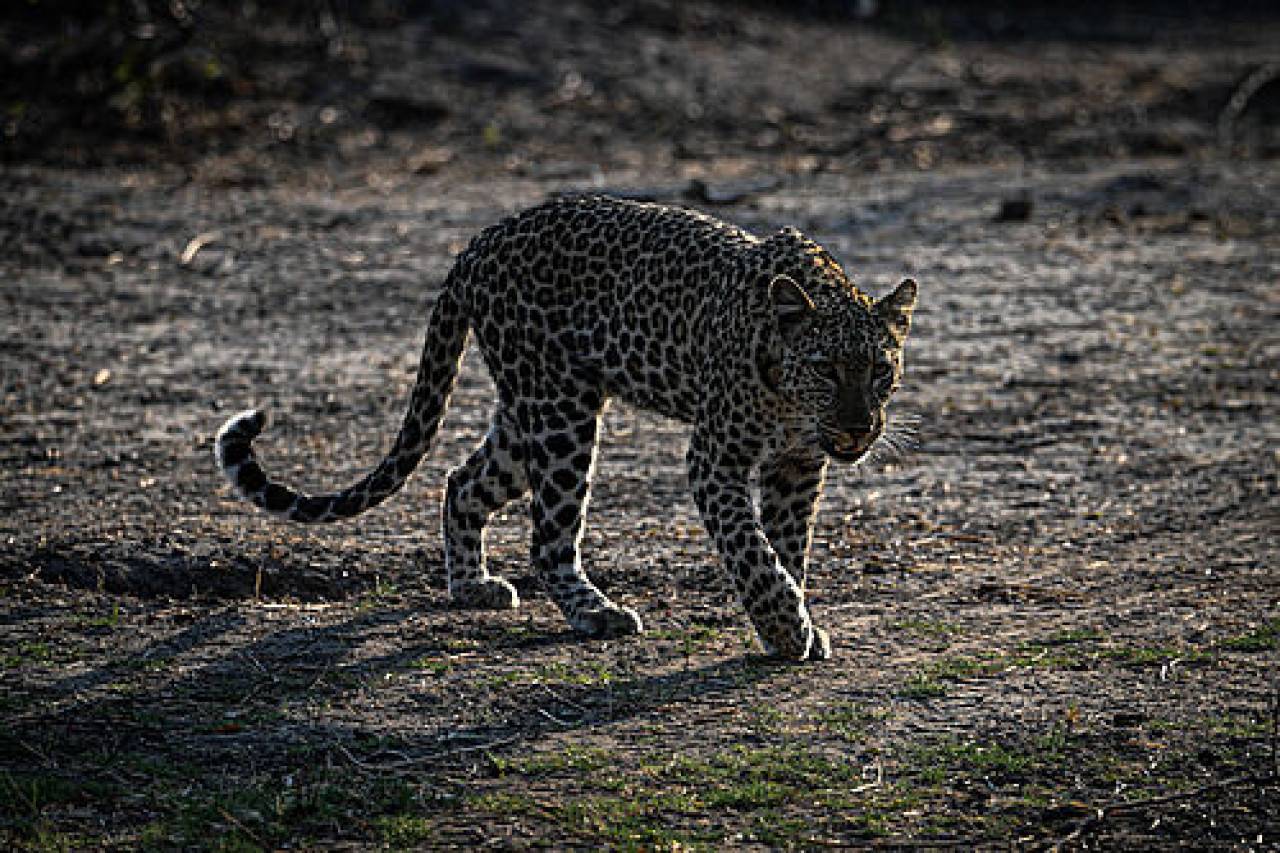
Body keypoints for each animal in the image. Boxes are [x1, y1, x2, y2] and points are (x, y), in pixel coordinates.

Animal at [215, 195, 917, 661]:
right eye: (826, 368)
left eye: (881, 370)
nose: (858, 429)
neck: (793, 404)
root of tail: (478, 242)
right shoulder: (714, 458)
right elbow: (751, 548)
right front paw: (782, 626)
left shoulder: (800, 466)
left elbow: (787, 548)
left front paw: (795, 621)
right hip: (561, 415)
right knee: (548, 540)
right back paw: (597, 613)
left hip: (532, 410)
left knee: (461, 480)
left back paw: (472, 586)